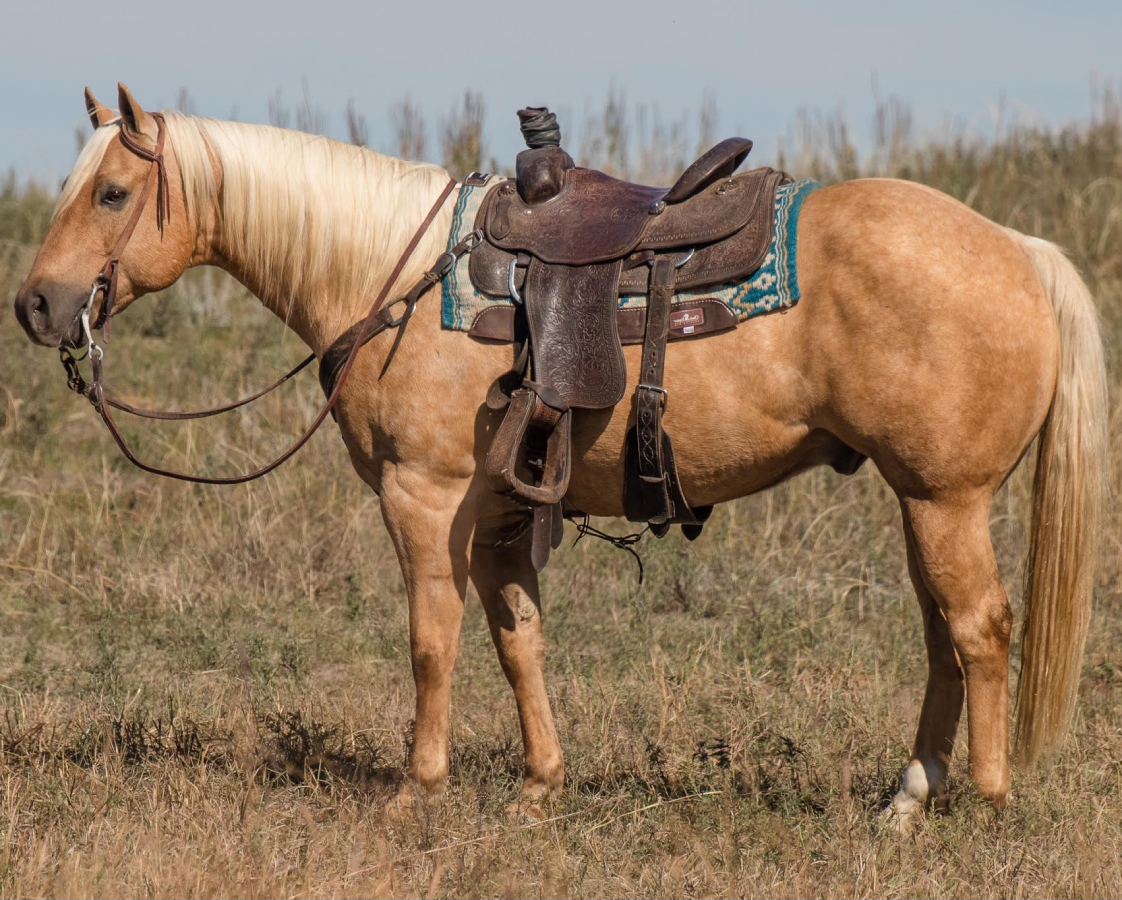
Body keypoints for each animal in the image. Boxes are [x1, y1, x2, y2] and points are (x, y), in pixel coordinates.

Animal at [13, 84, 1108, 821]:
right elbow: (518, 639)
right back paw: (906, 800)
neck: (393, 277)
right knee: (940, 639)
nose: (35, 305)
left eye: (111, 193)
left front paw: (419, 789)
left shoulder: (424, 497)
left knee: (979, 630)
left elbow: (432, 638)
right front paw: (541, 784)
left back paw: (986, 799)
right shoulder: (501, 509)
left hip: (945, 497)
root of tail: (1021, 250)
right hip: (918, 499)